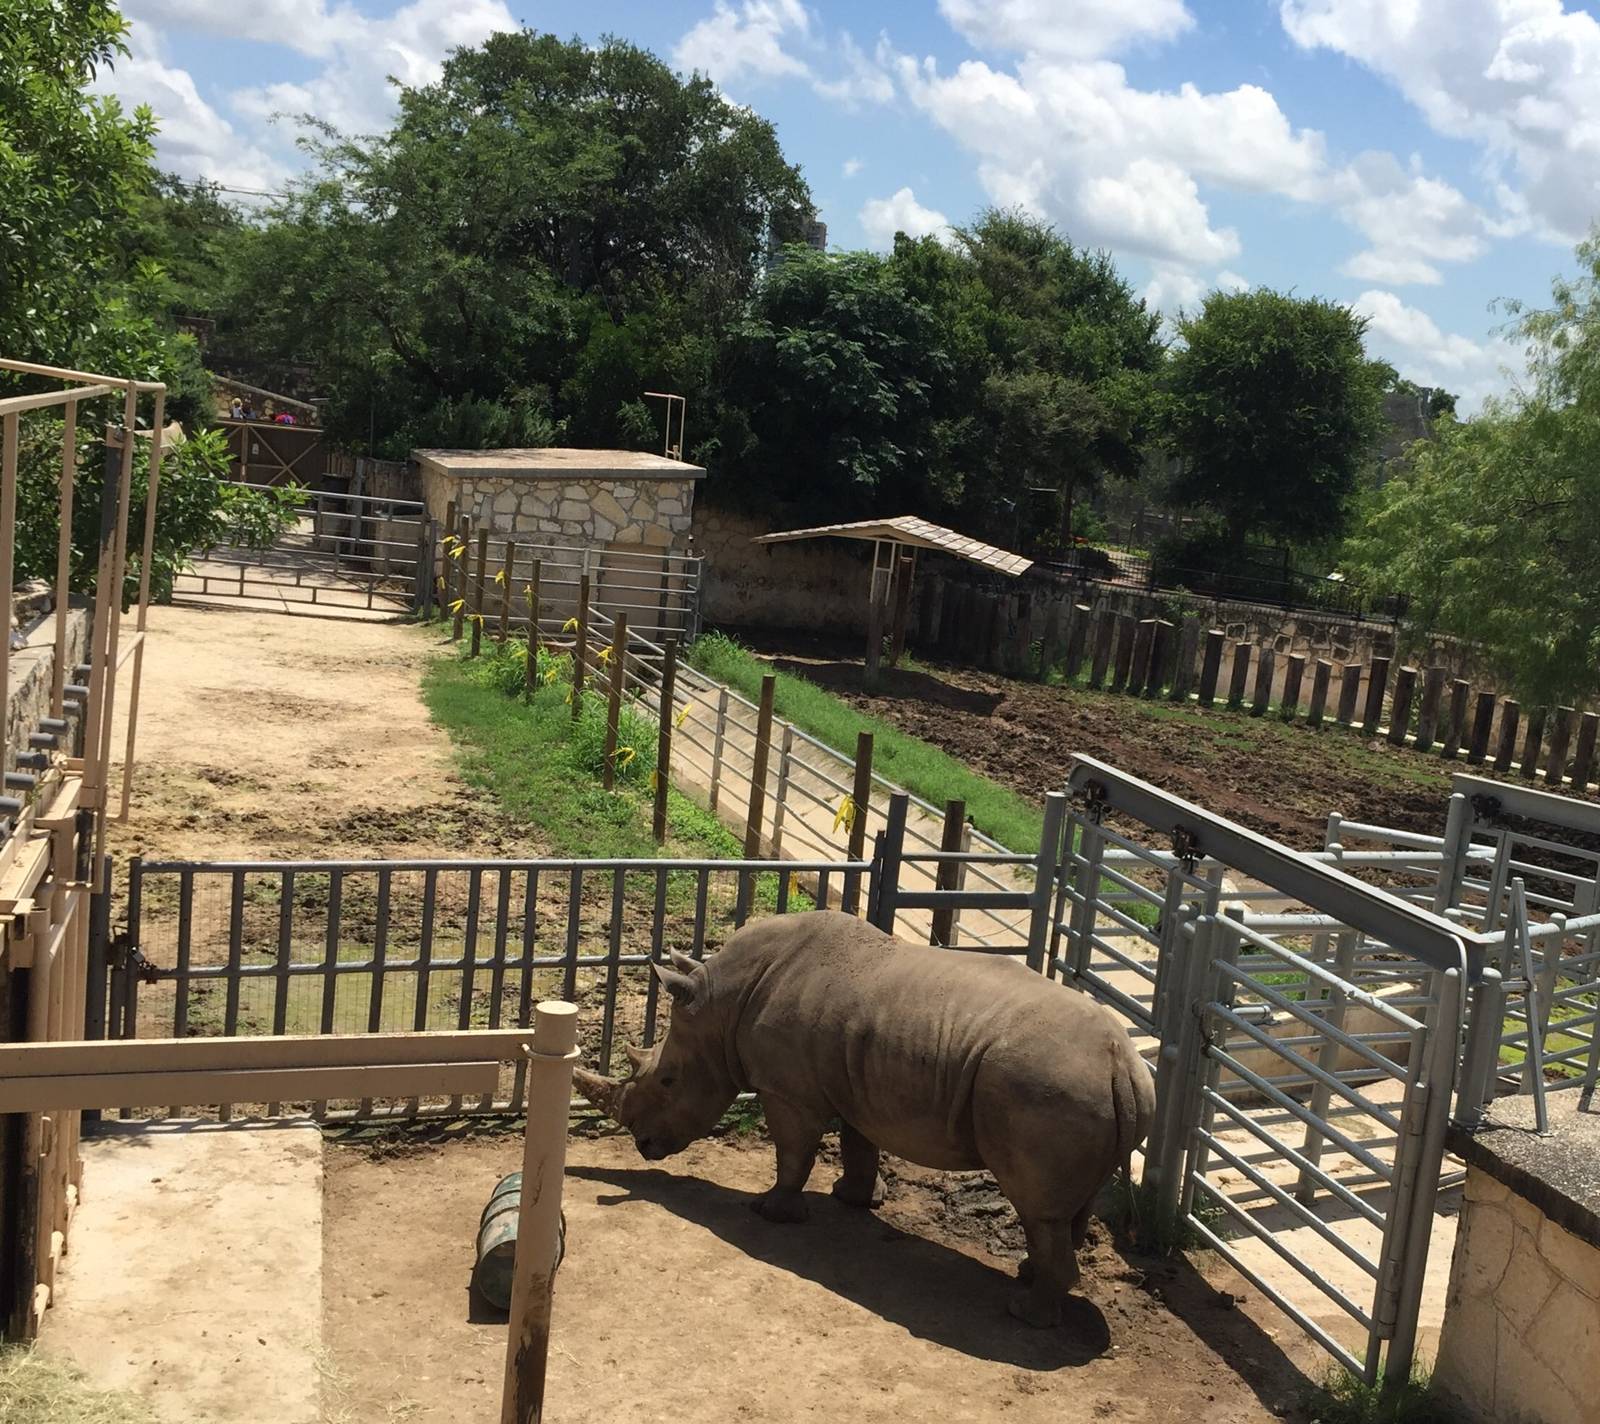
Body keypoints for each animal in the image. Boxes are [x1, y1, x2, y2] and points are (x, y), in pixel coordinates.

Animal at [573, 909, 1154, 1327]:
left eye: (668, 1081)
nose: (644, 1145)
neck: (723, 1001)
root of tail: (1123, 1066)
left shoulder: (788, 1091)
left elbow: (793, 1152)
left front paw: (770, 1212)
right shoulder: (856, 1079)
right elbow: (858, 1143)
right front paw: (852, 1200)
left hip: (1049, 1090)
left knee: (1039, 1207)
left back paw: (1025, 1315)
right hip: (1086, 1095)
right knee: (1064, 1208)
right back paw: (1028, 1277)